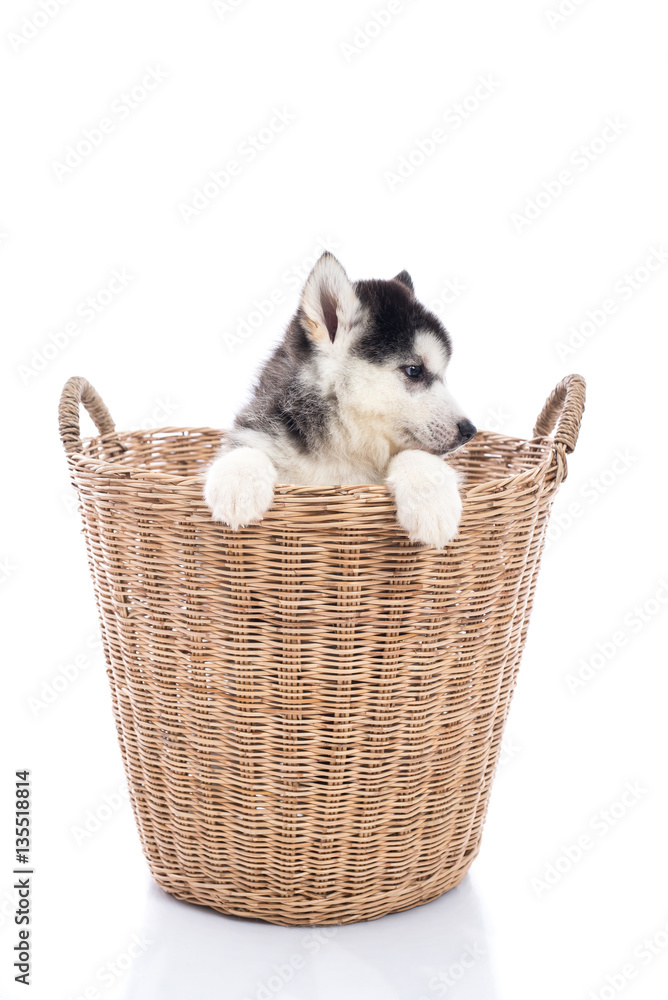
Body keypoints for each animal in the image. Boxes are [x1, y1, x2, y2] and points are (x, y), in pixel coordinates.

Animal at [204, 252, 474, 548]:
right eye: (414, 370)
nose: (469, 430)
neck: (344, 445)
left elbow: (416, 454)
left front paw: (432, 502)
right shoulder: (261, 425)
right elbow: (246, 448)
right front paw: (237, 486)